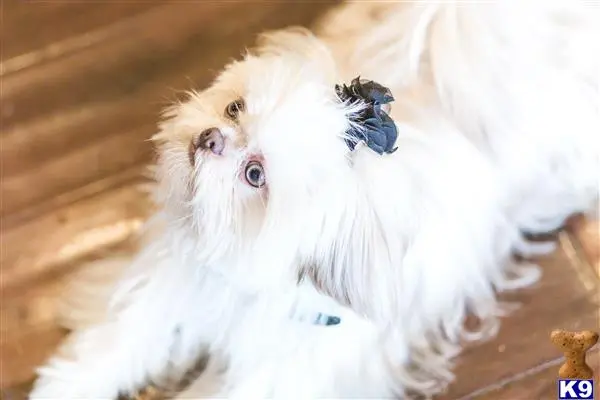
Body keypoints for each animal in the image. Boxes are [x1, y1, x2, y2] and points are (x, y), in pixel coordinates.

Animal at [30, 1, 599, 398]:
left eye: (255, 175)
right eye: (234, 108)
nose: (210, 138)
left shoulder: (285, 367)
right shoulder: (170, 287)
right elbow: (117, 340)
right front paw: (64, 387)